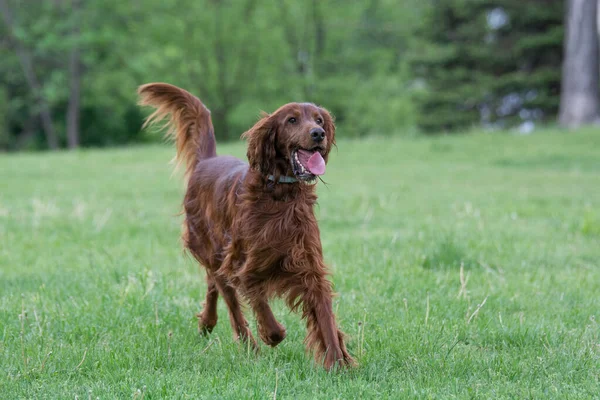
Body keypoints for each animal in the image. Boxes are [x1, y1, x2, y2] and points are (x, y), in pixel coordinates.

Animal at [138, 83, 354, 370]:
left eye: (319, 120)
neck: (280, 195)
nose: (318, 134)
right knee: (229, 300)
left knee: (212, 283)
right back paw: (248, 344)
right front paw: (272, 333)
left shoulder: (309, 266)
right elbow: (257, 299)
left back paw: (207, 323)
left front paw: (338, 363)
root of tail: (206, 161)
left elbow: (325, 316)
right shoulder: (241, 261)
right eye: (292, 120)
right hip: (212, 248)